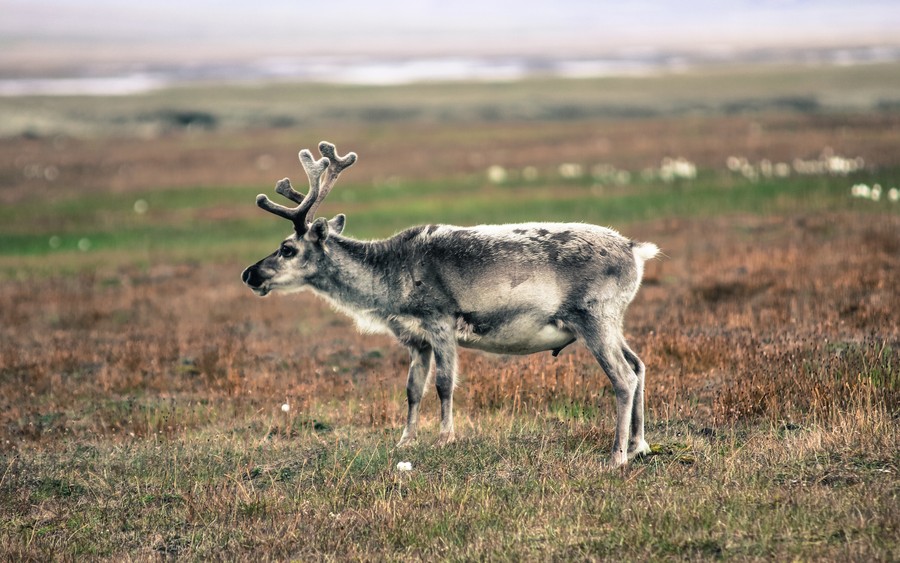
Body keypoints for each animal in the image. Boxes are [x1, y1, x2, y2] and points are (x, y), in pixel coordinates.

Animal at [241, 141, 660, 467]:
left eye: (287, 248)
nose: (249, 274)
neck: (389, 278)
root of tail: (636, 250)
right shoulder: (416, 339)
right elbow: (413, 390)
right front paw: (405, 441)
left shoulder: (440, 321)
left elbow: (444, 384)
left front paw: (445, 437)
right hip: (611, 321)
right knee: (639, 365)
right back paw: (640, 445)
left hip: (595, 317)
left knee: (623, 377)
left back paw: (617, 455)